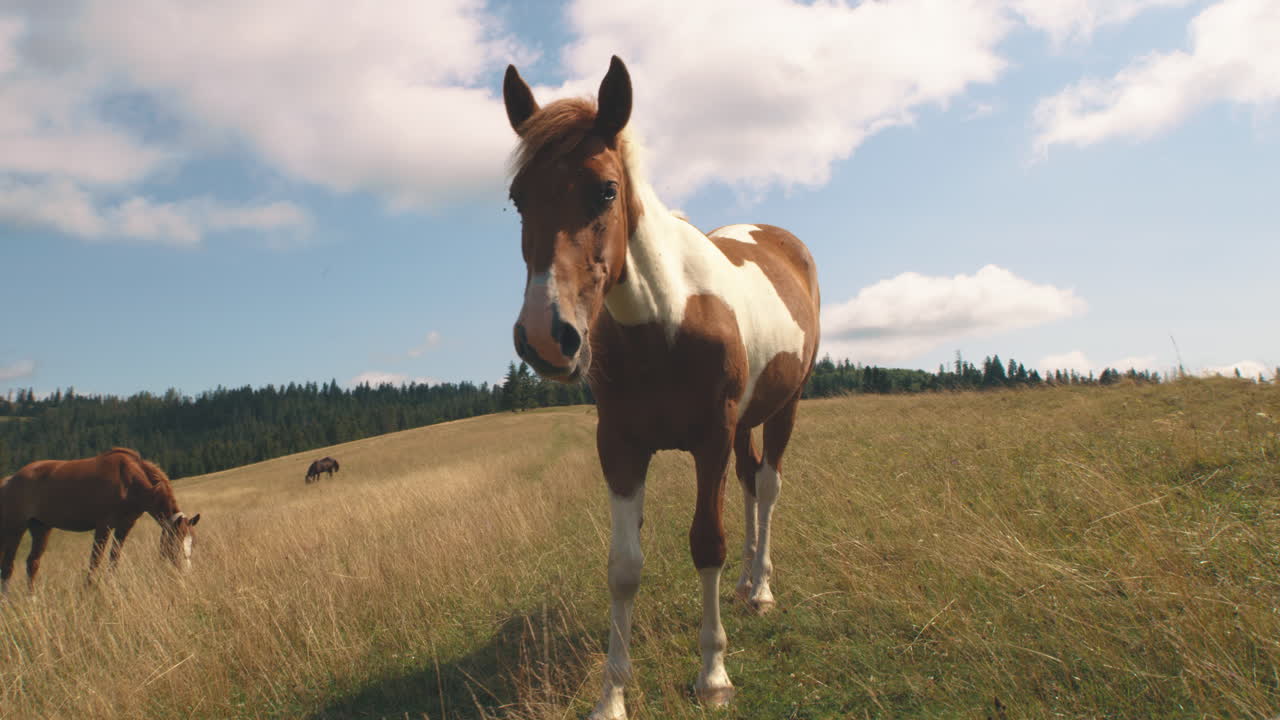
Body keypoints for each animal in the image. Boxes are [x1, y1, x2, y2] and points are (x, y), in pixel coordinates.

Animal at [0, 447, 200, 594]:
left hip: (41, 528)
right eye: (174, 544)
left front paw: (111, 585)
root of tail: (10, 480)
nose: (186, 574)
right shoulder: (103, 526)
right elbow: (95, 559)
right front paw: (88, 590)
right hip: (15, 527)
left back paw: (32, 598)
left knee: (32, 563)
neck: (129, 480)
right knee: (8, 565)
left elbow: (114, 557)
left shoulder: (124, 526)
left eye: (193, 543)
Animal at [502, 57, 821, 718]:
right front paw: (612, 696)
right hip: (747, 422)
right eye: (518, 198)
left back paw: (761, 587)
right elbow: (624, 566)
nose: (547, 337)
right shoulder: (620, 446)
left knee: (769, 487)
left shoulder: (711, 439)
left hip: (785, 407)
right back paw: (747, 584)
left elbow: (707, 544)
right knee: (750, 483)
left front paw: (713, 675)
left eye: (606, 189)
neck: (666, 319)